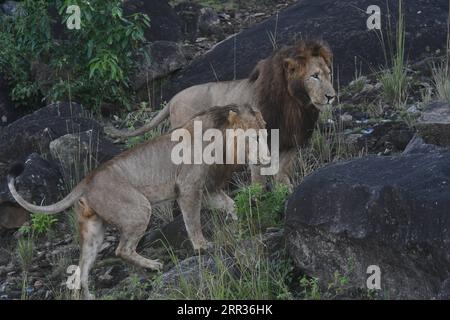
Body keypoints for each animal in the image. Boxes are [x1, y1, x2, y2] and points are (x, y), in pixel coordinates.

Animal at [7, 104, 268, 300]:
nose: (267, 158)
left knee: (83, 266)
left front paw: (238, 222)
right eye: (254, 136)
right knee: (122, 249)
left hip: (93, 230)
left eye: (265, 133)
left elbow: (230, 204)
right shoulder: (188, 188)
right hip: (139, 208)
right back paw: (153, 265)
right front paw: (203, 247)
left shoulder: (207, 189)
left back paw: (90, 295)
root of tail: (86, 180)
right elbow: (193, 222)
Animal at [108, 38, 334, 186]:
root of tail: (174, 97)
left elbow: (282, 175)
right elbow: (259, 180)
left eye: (328, 74)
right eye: (314, 76)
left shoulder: (289, 143)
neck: (294, 104)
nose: (331, 96)